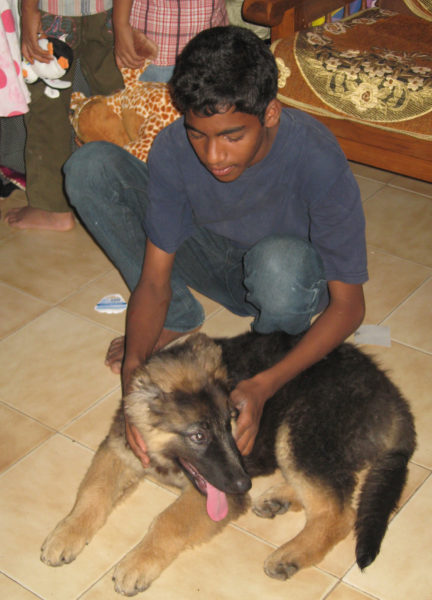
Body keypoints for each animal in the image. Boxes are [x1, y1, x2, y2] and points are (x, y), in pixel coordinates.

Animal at [41, 332, 416, 596]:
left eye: (229, 423)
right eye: (198, 436)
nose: (243, 485)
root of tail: (393, 398)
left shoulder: (211, 494)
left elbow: (168, 521)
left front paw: (138, 562)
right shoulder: (120, 450)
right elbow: (93, 493)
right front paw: (66, 534)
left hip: (297, 433)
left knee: (339, 512)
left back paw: (290, 554)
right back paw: (278, 499)